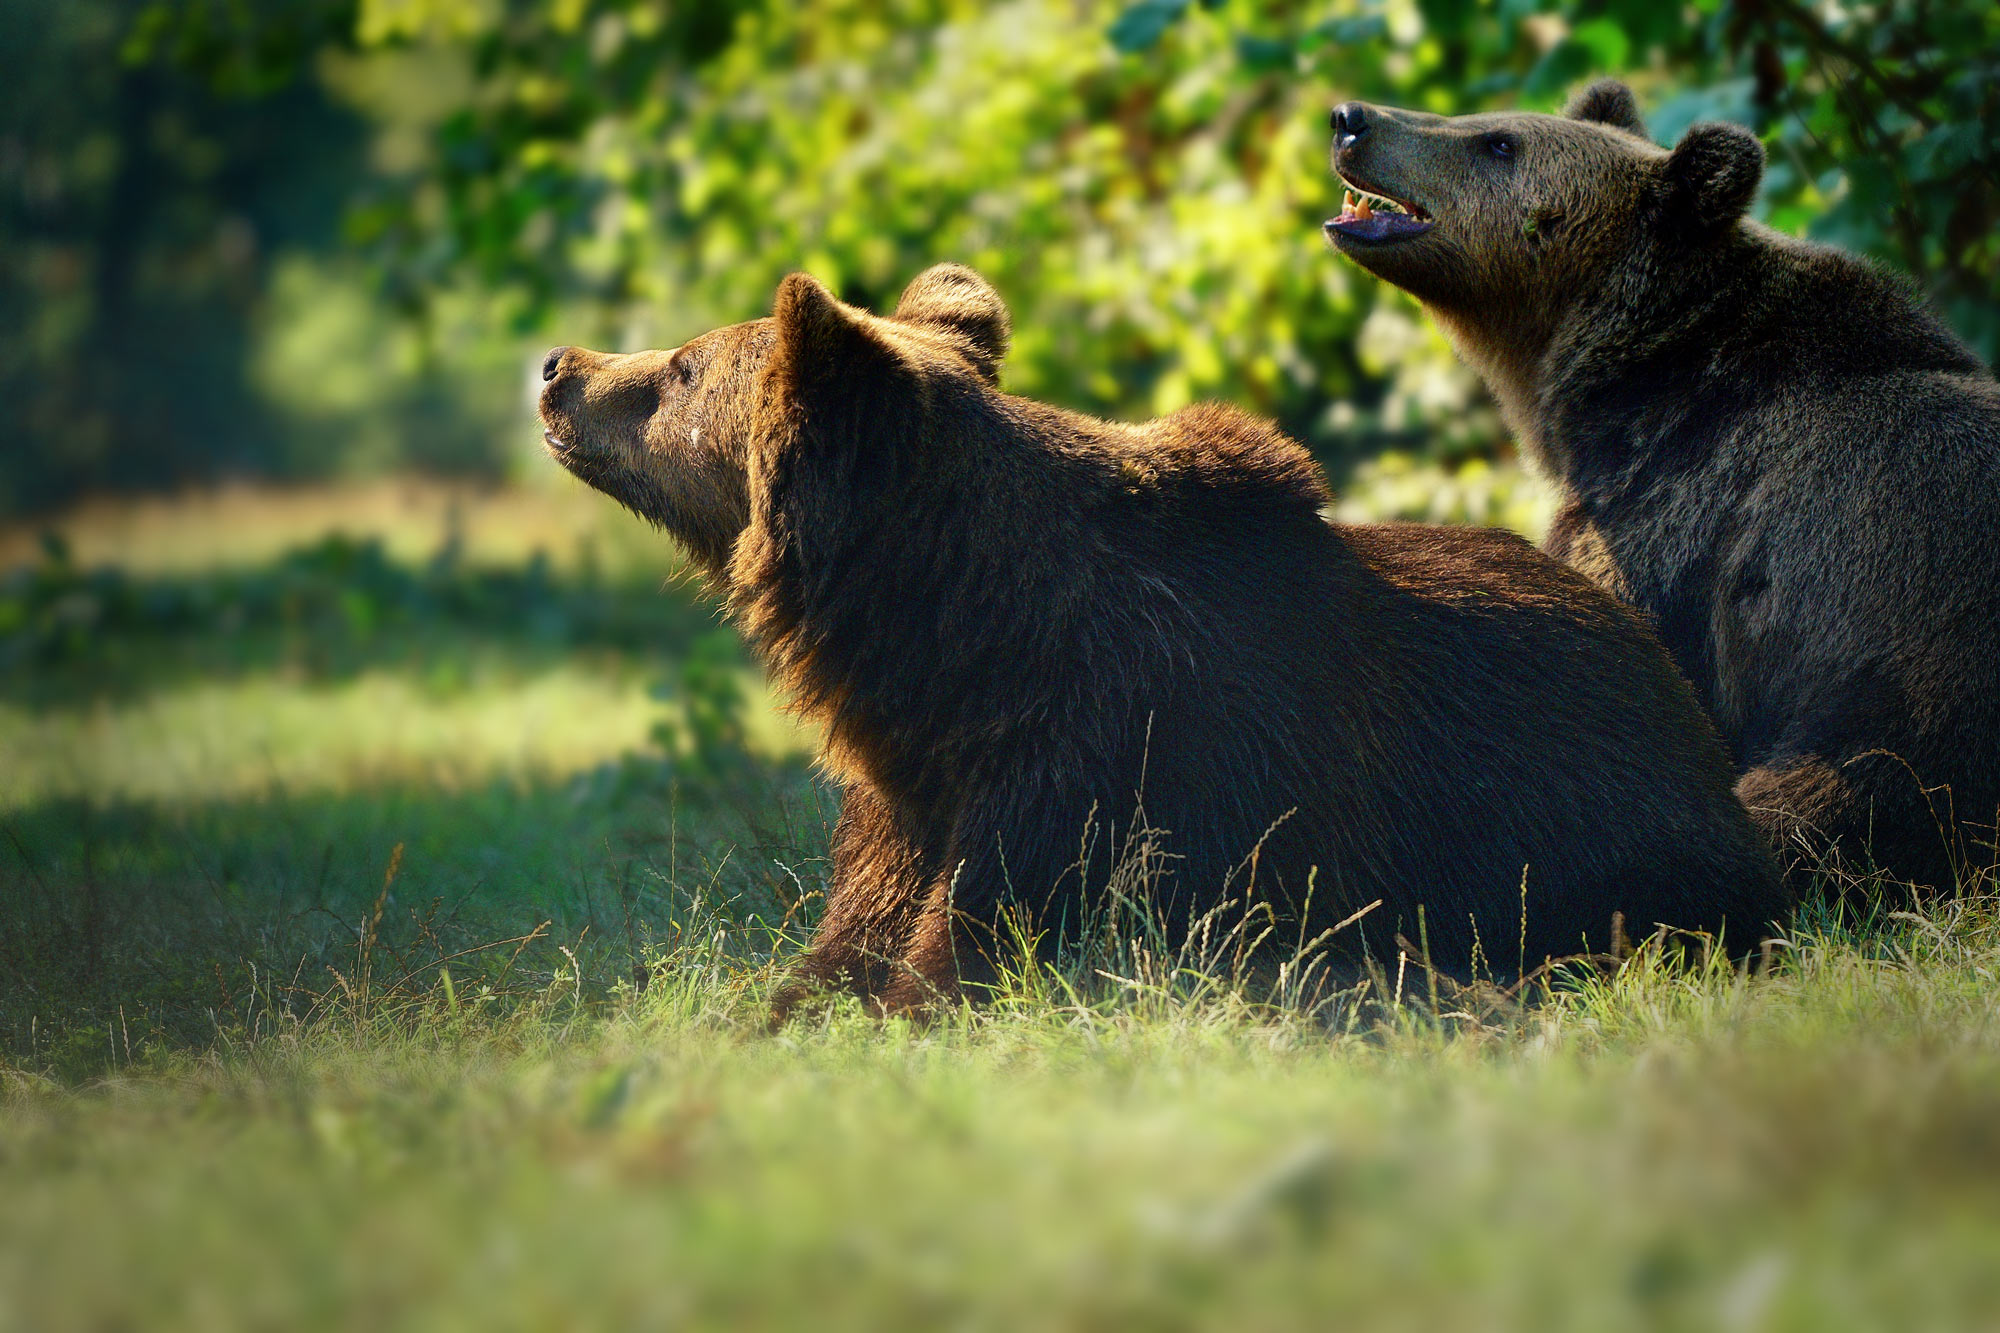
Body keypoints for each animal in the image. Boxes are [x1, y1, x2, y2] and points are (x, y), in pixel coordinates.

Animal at [532, 262, 1784, 1008]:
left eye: (681, 366)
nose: (557, 366)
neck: (951, 652)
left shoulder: (1099, 764)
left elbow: (976, 945)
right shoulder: (911, 788)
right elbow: (842, 943)